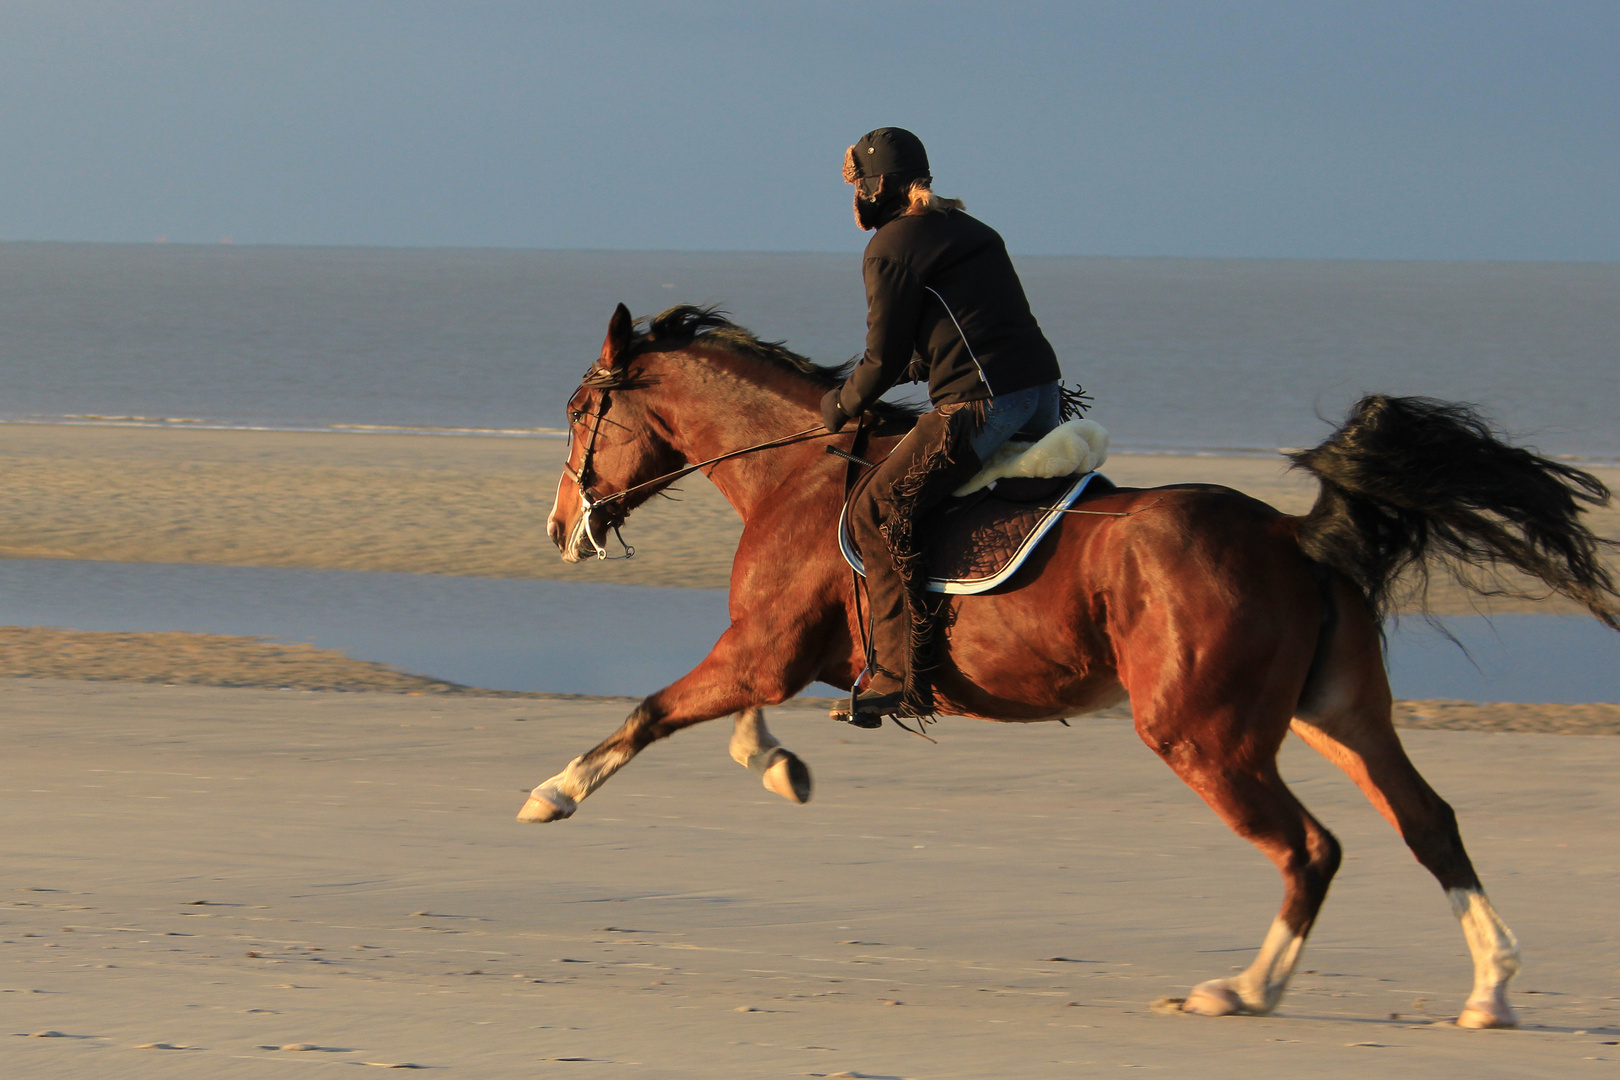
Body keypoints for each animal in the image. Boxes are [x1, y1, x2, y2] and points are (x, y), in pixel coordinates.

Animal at [521, 302, 1620, 1029]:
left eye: (578, 408)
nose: (560, 531)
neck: (800, 469)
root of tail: (1293, 536)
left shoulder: (756, 653)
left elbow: (654, 709)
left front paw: (552, 793)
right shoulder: (781, 659)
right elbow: (737, 717)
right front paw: (780, 767)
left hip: (1204, 737)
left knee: (1312, 848)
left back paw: (1246, 989)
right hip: (1339, 716)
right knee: (1427, 822)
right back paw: (1490, 986)